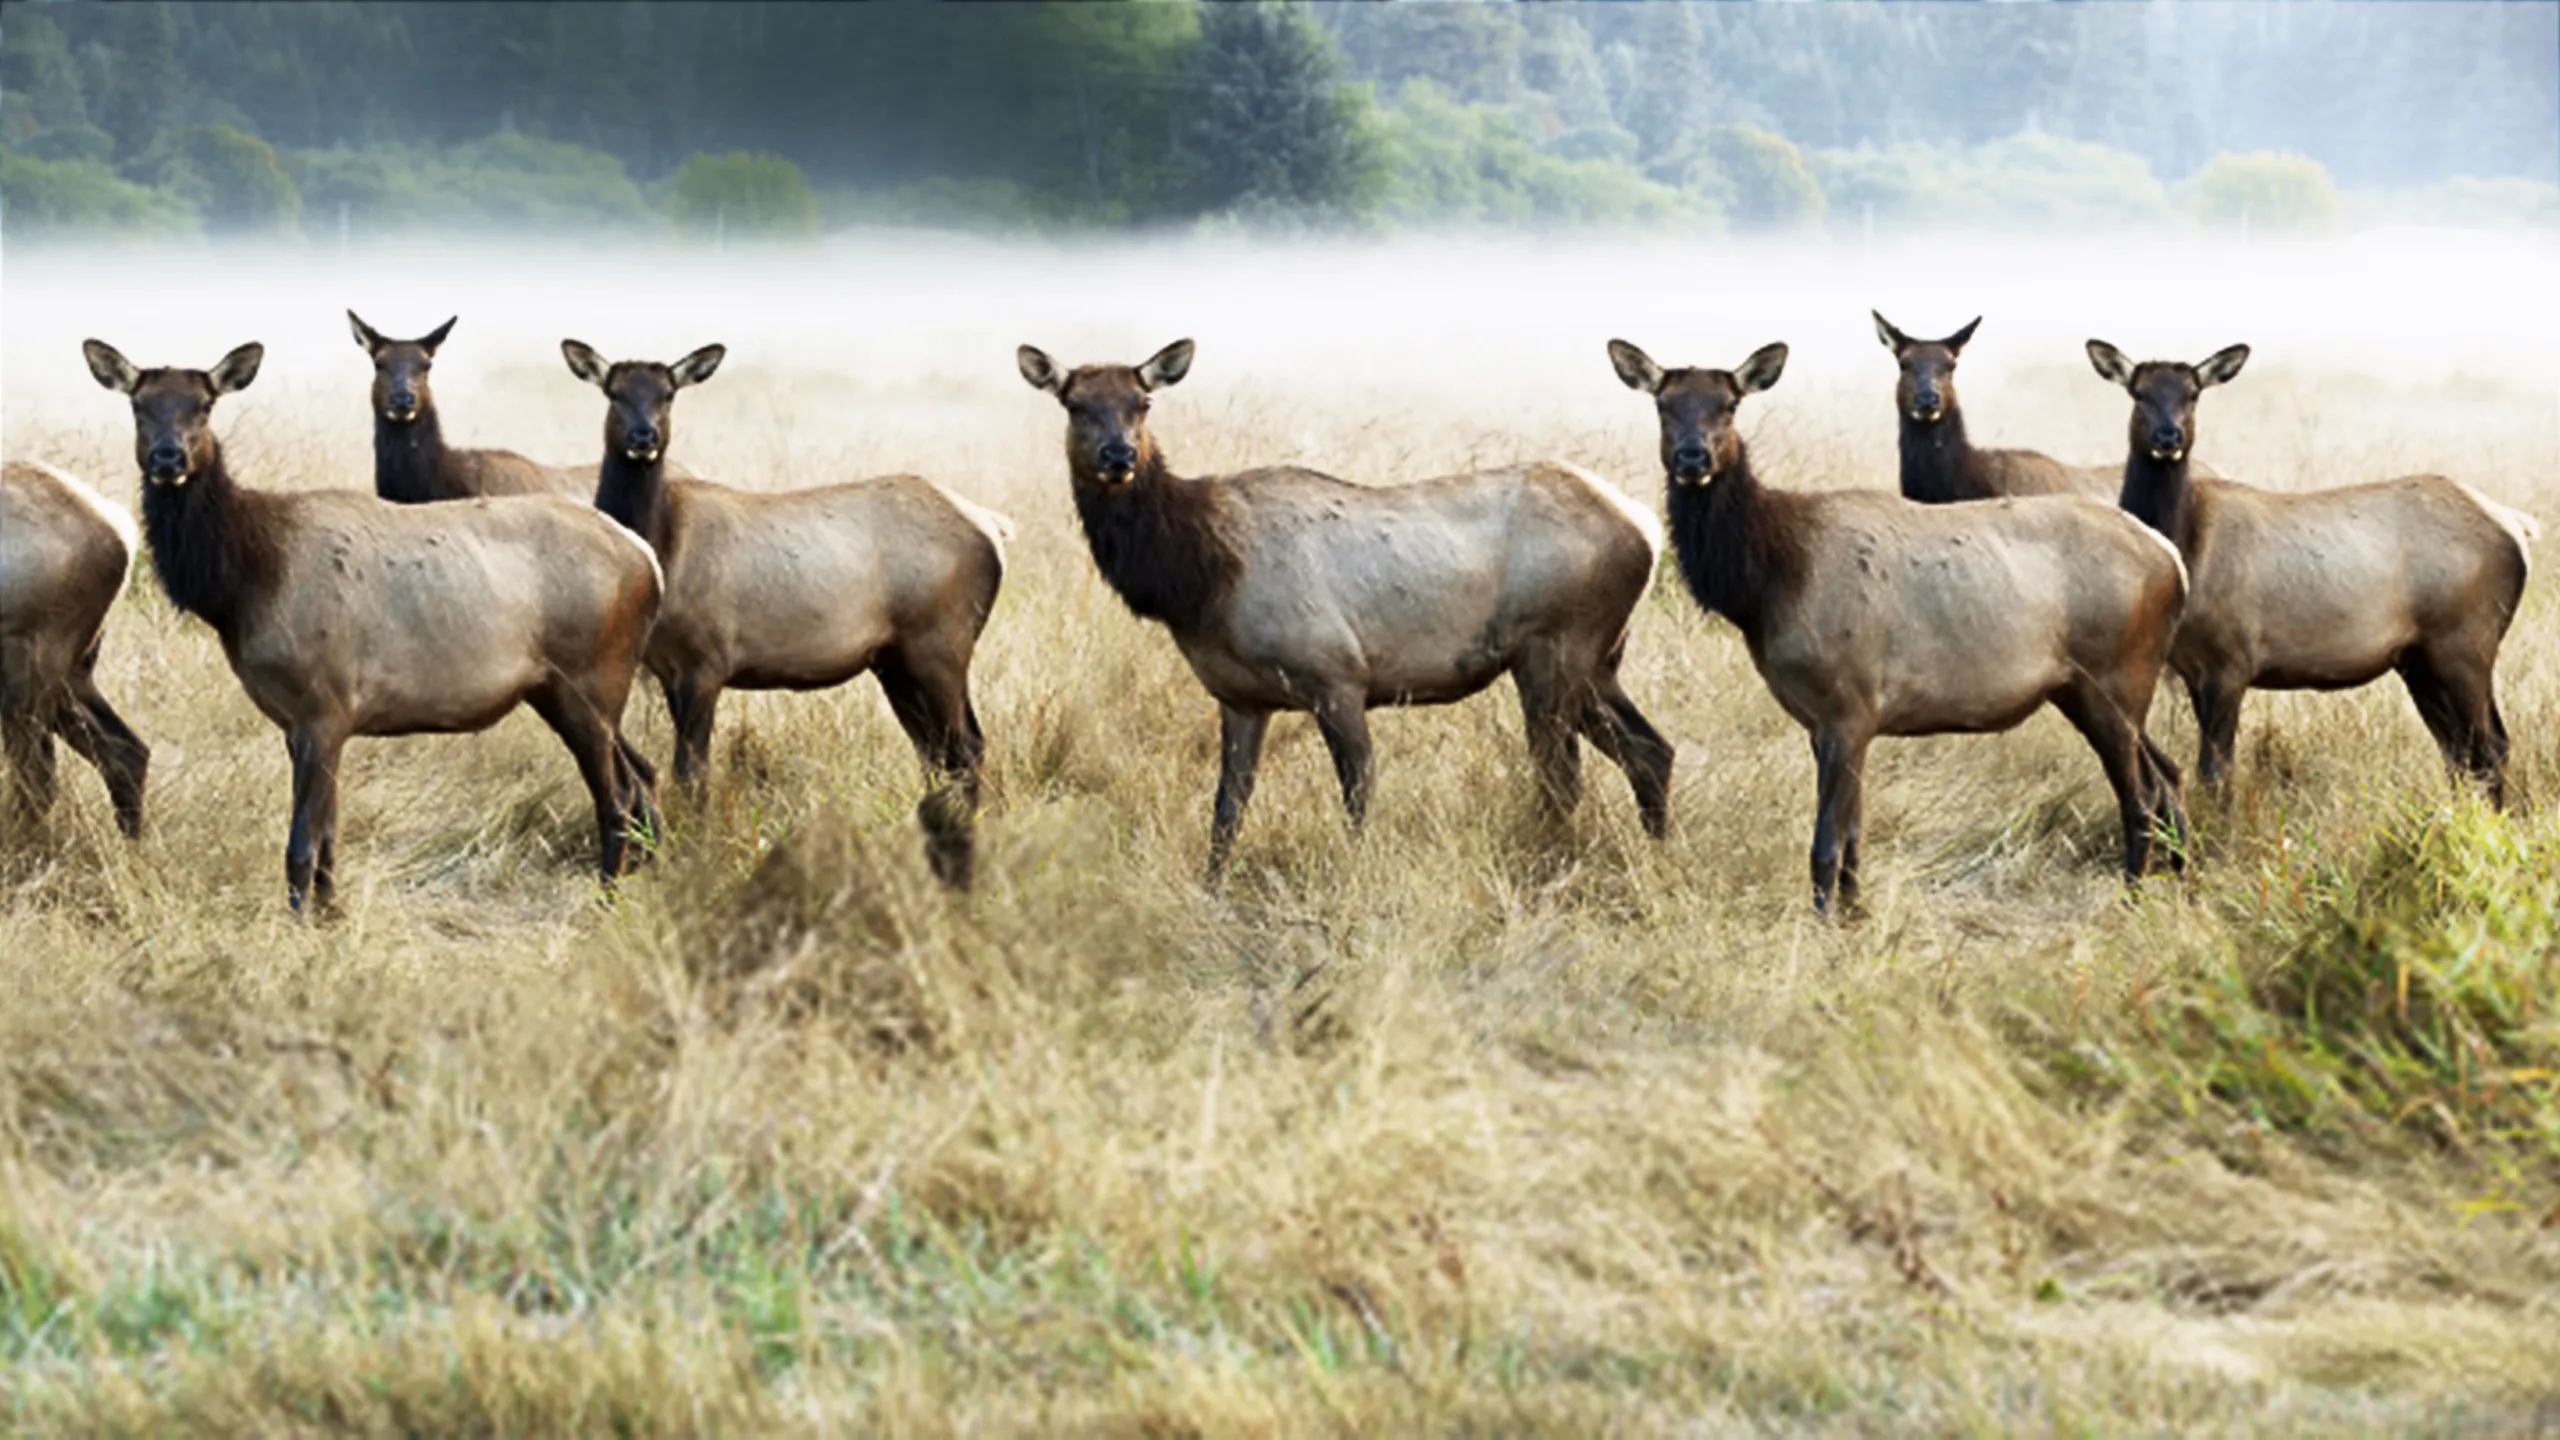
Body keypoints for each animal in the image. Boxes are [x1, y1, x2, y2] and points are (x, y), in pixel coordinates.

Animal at [84, 338, 664, 914]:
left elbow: (301, 844)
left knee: (619, 795)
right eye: (139, 405)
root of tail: (647, 560)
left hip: (591, 678)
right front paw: (330, 913)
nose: (167, 457)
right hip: (560, 690)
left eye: (204, 405)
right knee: (640, 779)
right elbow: (329, 836)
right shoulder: (304, 721)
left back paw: (606, 899)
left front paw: (300, 922)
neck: (244, 584)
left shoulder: (323, 703)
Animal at [559, 339, 1009, 890]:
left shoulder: (707, 661)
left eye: (667, 393)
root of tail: (993, 530)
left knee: (967, 748)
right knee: (938, 753)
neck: (661, 548)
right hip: (897, 661)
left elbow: (693, 771)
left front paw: (699, 857)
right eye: (614, 392)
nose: (643, 437)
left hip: (941, 642)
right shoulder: (667, 668)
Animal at [1018, 339, 1676, 884]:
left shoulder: (1336, 674)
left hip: (1555, 645)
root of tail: (1645, 527)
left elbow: (1358, 794)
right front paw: (1211, 891)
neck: (1197, 580)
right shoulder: (1239, 696)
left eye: (1143, 401)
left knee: (1562, 775)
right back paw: (1656, 849)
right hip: (1598, 659)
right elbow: (1226, 810)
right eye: (1075, 404)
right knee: (1650, 751)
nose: (1118, 454)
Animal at [1609, 337, 2190, 916]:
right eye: (1663, 404)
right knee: (2166, 776)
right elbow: (1854, 835)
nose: (1692, 458)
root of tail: (2173, 561)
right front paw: (1855, 914)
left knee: (2142, 795)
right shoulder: (1829, 721)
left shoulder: (1848, 705)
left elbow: (1826, 844)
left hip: (2115, 677)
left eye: (1729, 405)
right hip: (2087, 690)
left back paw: (2132, 898)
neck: (1768, 583)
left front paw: (1825, 923)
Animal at [2087, 339, 2538, 803]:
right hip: (2420, 658)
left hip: (2467, 639)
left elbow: (2216, 773)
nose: (2168, 437)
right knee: (2458, 750)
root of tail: (2518, 527)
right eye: (2138, 393)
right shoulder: (2193, 669)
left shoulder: (2231, 660)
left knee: (2491, 745)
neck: (2187, 551)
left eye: (2192, 394)